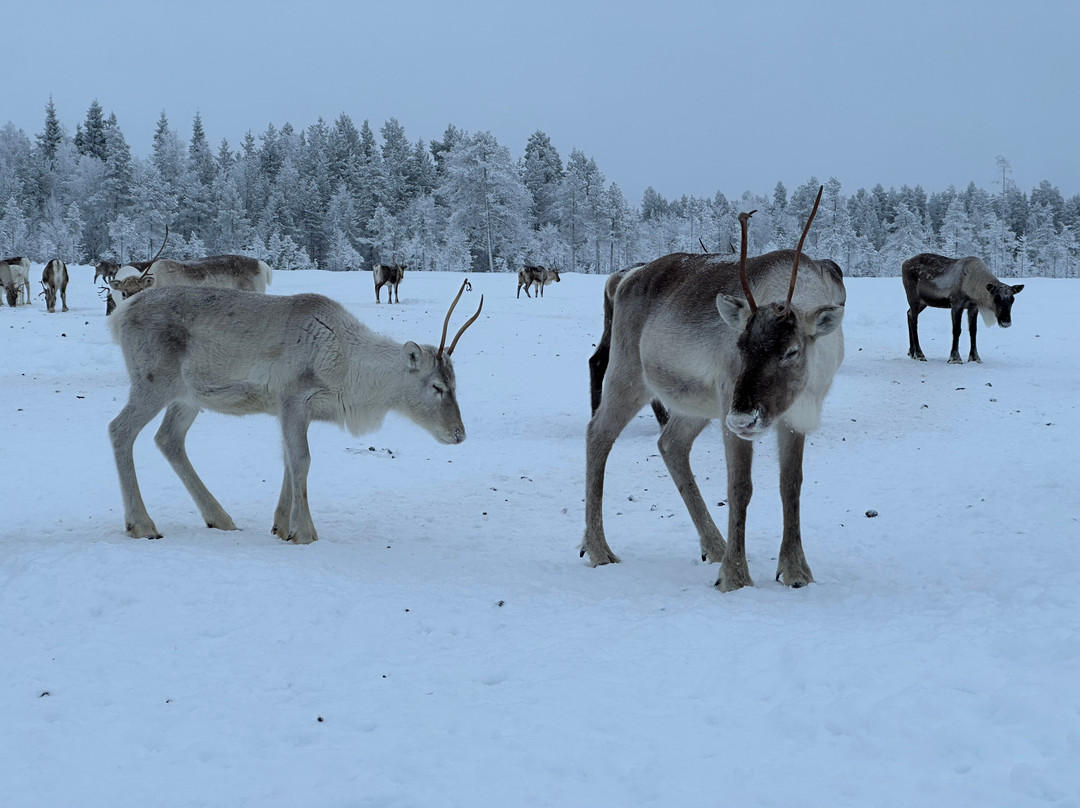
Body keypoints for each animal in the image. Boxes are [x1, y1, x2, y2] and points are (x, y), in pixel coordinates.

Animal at [108, 278, 482, 544]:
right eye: (437, 387)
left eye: (455, 382)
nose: (459, 434)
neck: (348, 371)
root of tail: (121, 313)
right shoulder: (293, 399)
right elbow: (302, 460)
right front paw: (304, 532)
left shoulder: (291, 411)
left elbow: (288, 460)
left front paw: (280, 525)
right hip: (154, 382)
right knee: (119, 429)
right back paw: (142, 523)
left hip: (188, 397)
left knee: (168, 439)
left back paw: (220, 518)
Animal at [582, 187, 846, 592]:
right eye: (739, 346)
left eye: (791, 350)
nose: (743, 417)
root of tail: (625, 279)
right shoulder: (728, 401)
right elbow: (740, 488)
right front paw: (735, 576)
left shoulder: (793, 416)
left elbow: (791, 486)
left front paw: (796, 571)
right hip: (629, 373)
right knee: (598, 434)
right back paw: (598, 548)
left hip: (695, 403)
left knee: (670, 444)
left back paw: (714, 545)